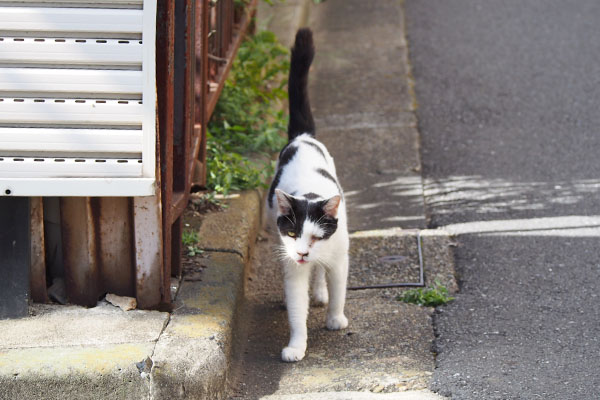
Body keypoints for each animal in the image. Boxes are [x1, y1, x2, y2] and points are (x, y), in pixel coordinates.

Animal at [264, 28, 350, 362]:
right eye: (291, 233)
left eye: (315, 236)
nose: (302, 252)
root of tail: (302, 137)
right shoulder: (292, 268)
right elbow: (296, 310)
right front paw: (296, 346)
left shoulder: (339, 257)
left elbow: (338, 289)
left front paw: (335, 318)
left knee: (321, 274)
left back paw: (321, 293)